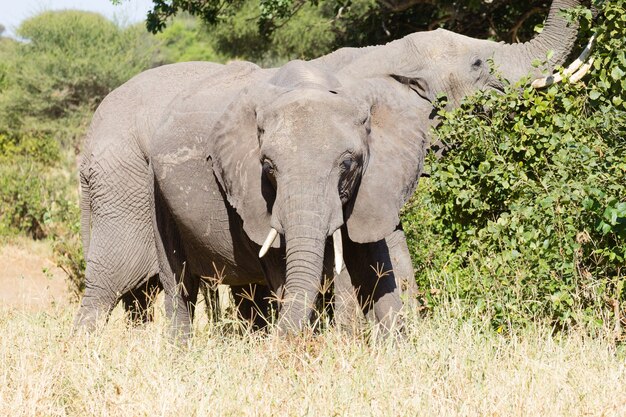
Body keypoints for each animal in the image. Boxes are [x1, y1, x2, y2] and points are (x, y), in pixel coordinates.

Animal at [75, 0, 584, 334]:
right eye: (479, 64)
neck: (381, 55)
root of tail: (87, 143)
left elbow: (390, 253)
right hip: (127, 187)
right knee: (111, 283)